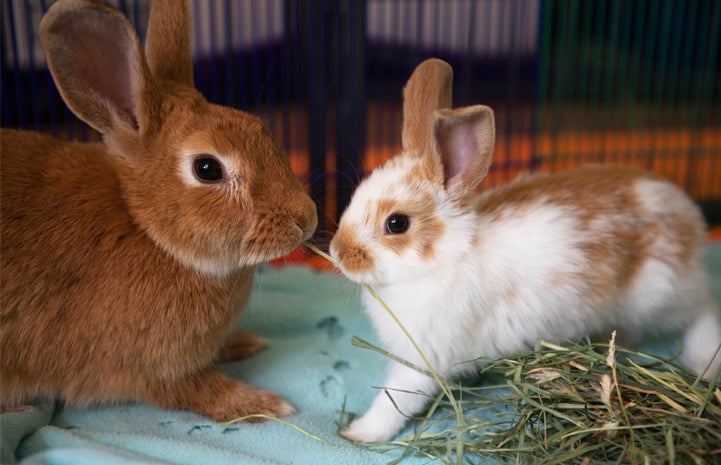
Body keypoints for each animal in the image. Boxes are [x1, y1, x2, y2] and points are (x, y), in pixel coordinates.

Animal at [0, 0, 316, 420]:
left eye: (257, 125)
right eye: (207, 168)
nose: (307, 218)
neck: (146, 228)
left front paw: (245, 342)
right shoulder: (153, 372)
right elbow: (203, 391)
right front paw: (266, 404)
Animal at [330, 58, 720, 442]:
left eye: (397, 223)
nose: (337, 252)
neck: (446, 256)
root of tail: (685, 209)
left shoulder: (423, 360)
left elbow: (393, 401)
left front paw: (358, 433)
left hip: (663, 294)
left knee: (704, 307)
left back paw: (704, 362)